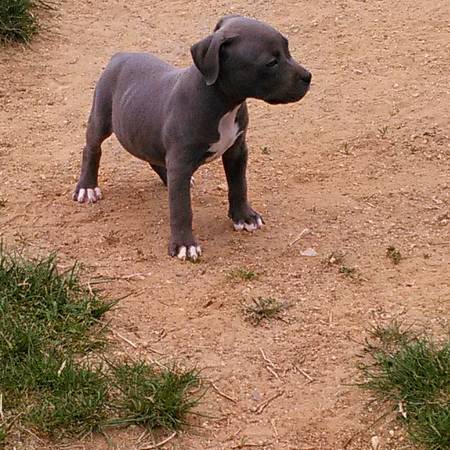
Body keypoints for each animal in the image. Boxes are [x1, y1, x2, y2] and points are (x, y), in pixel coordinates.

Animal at [74, 14, 312, 260]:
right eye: (271, 62)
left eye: (287, 50)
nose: (308, 77)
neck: (222, 102)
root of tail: (119, 56)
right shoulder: (181, 161)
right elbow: (181, 209)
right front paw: (184, 244)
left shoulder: (237, 150)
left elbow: (239, 185)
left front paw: (244, 217)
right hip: (101, 117)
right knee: (92, 149)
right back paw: (87, 187)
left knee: (155, 159)